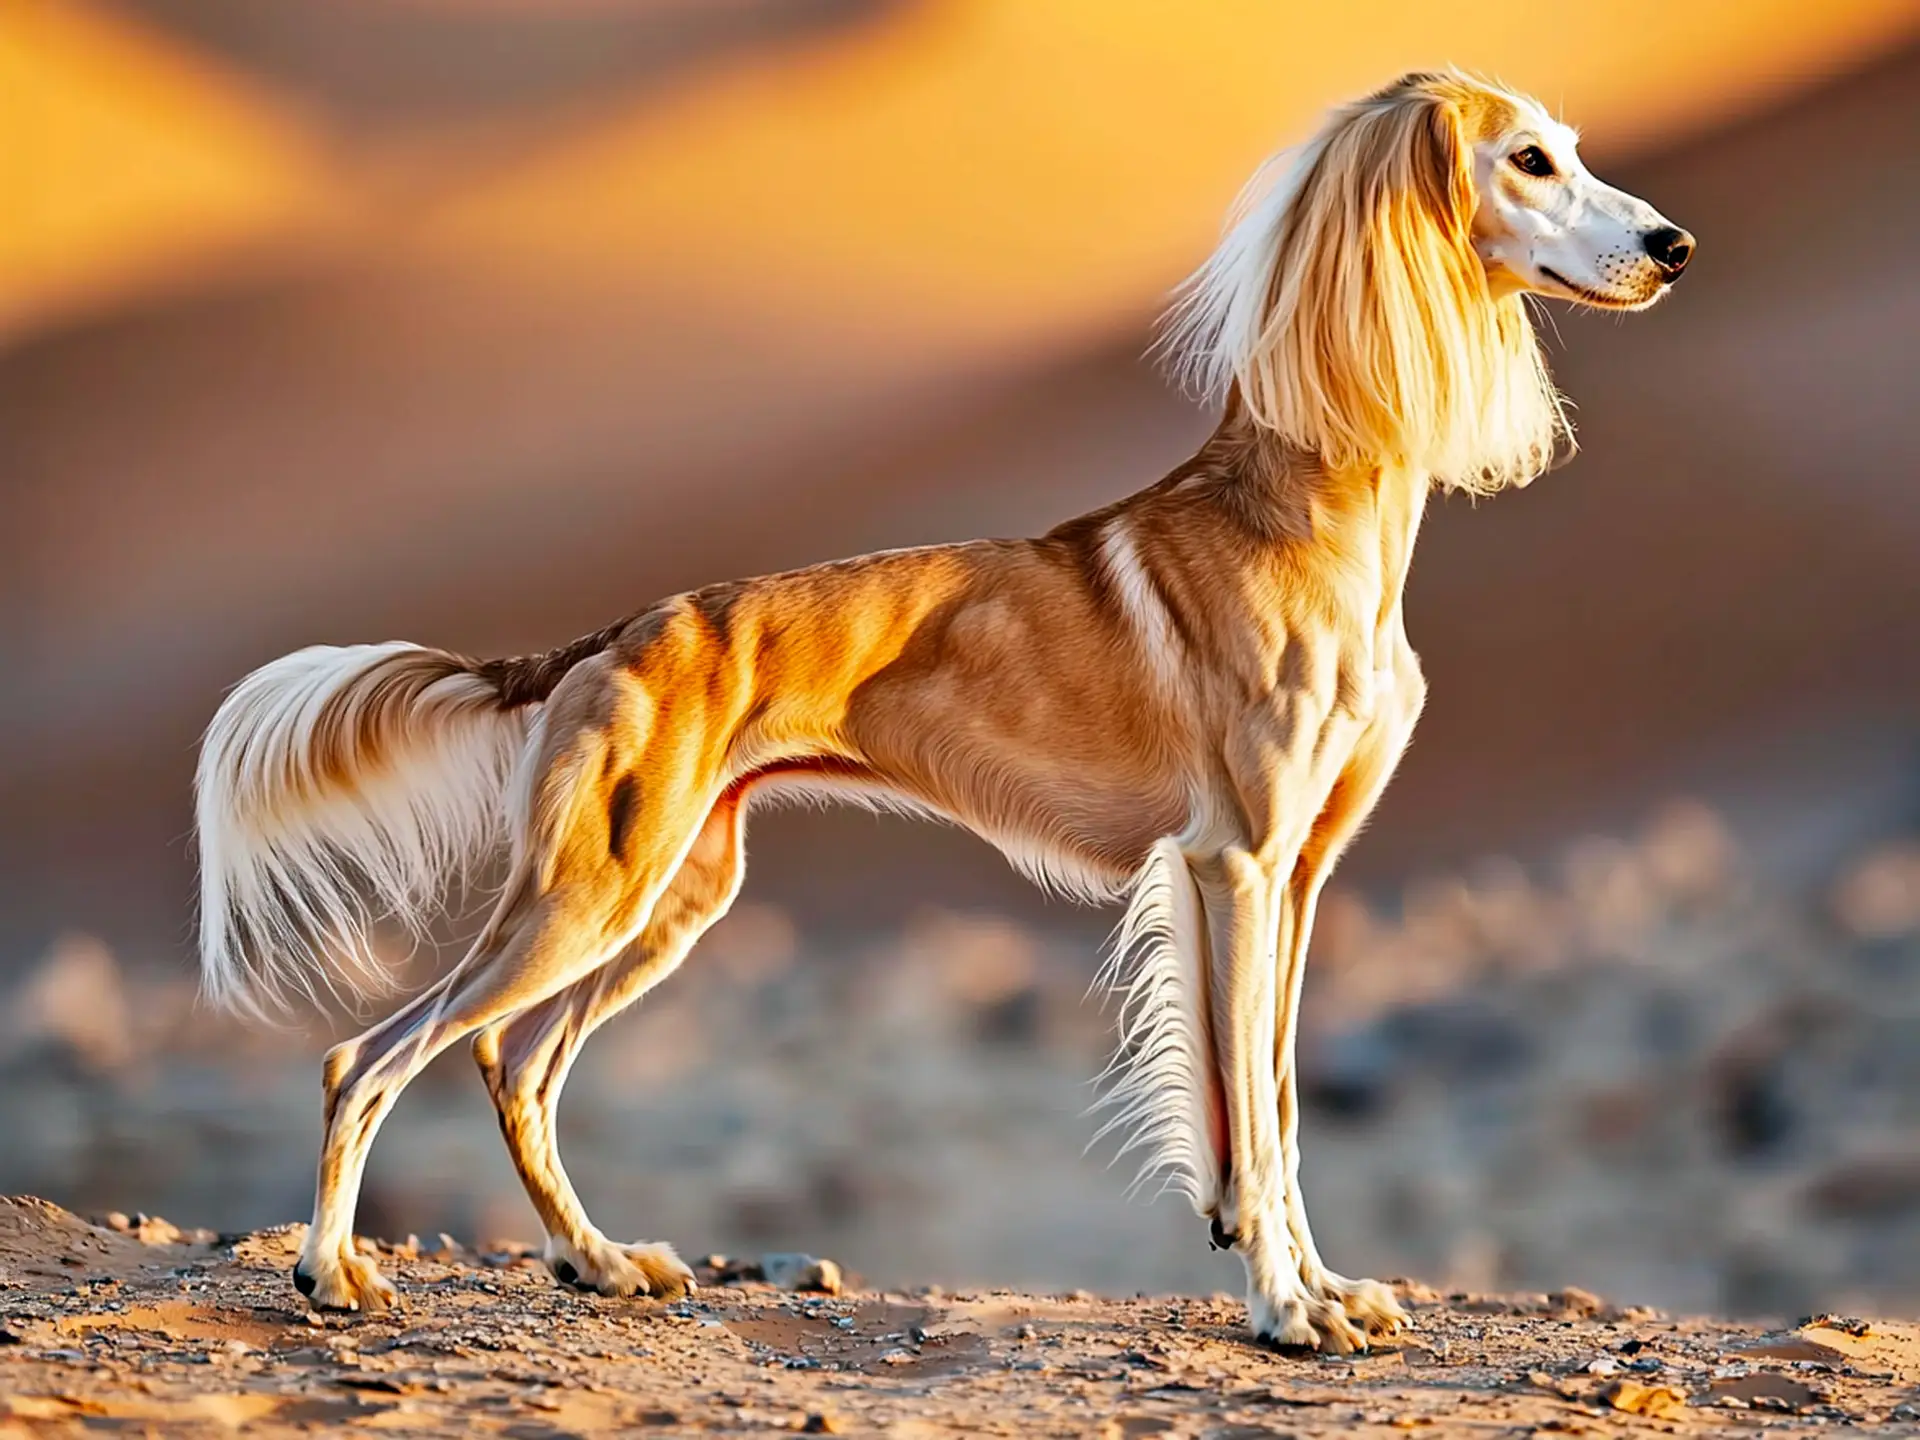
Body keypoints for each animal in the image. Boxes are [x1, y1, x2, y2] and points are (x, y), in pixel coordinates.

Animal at [194, 67, 1689, 1351]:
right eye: (1532, 160)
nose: (1675, 245)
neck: (1311, 509)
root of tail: (617, 632)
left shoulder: (1303, 873)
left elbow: (1274, 1100)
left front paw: (1322, 1289)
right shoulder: (1238, 864)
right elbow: (1252, 1131)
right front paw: (1284, 1308)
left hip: (672, 893)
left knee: (515, 1063)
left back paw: (598, 1260)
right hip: (589, 892)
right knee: (370, 1056)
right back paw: (333, 1272)